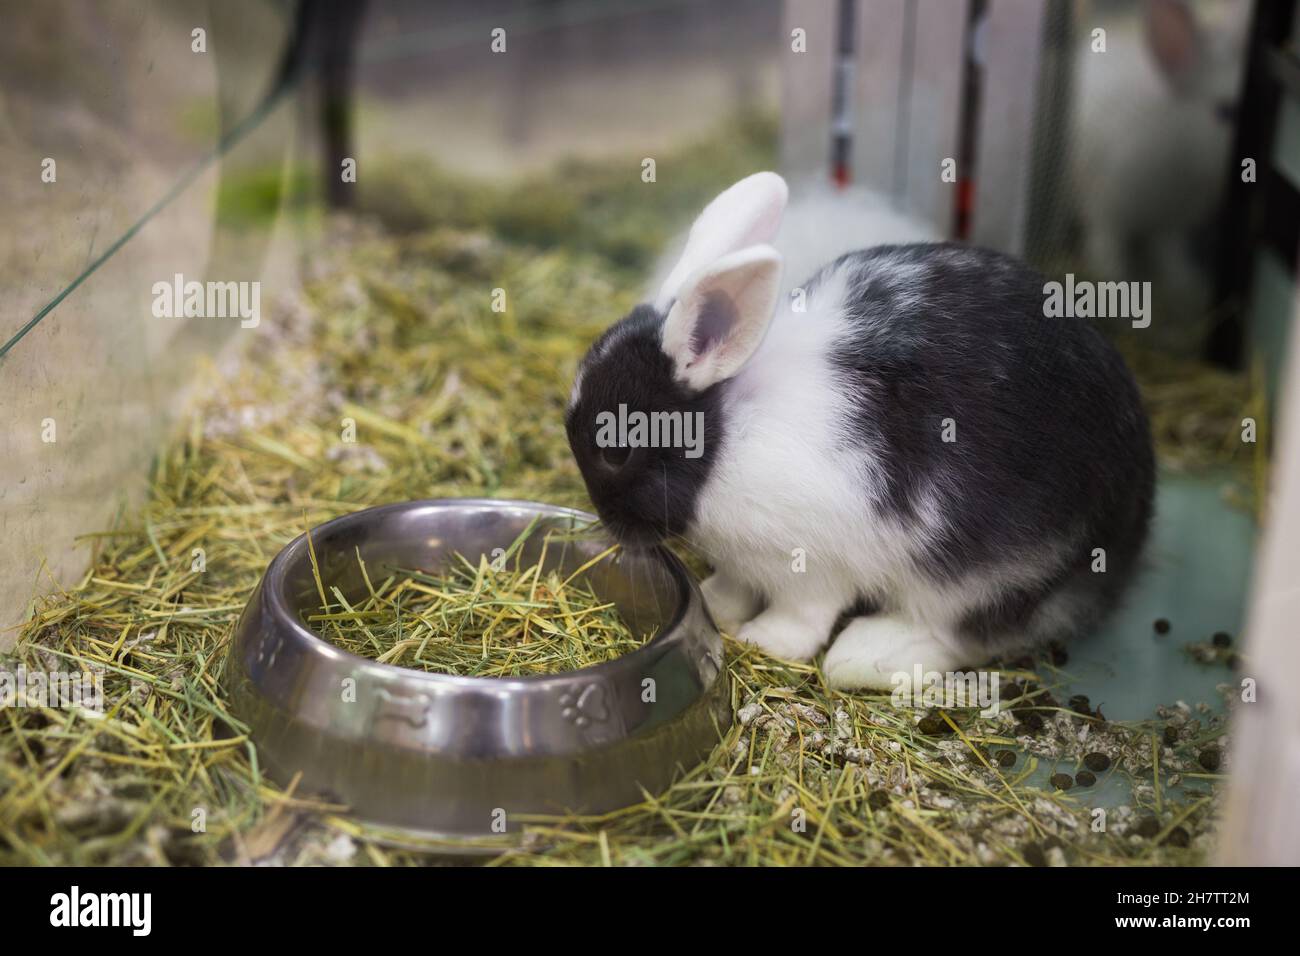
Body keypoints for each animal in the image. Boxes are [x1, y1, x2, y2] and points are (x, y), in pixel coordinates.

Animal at [564, 171, 1154, 686]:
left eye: (615, 452)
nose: (608, 523)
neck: (724, 436)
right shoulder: (745, 562)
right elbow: (732, 585)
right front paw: (715, 604)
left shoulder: (812, 567)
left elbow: (802, 618)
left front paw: (761, 640)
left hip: (990, 574)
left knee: (960, 632)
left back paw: (863, 655)